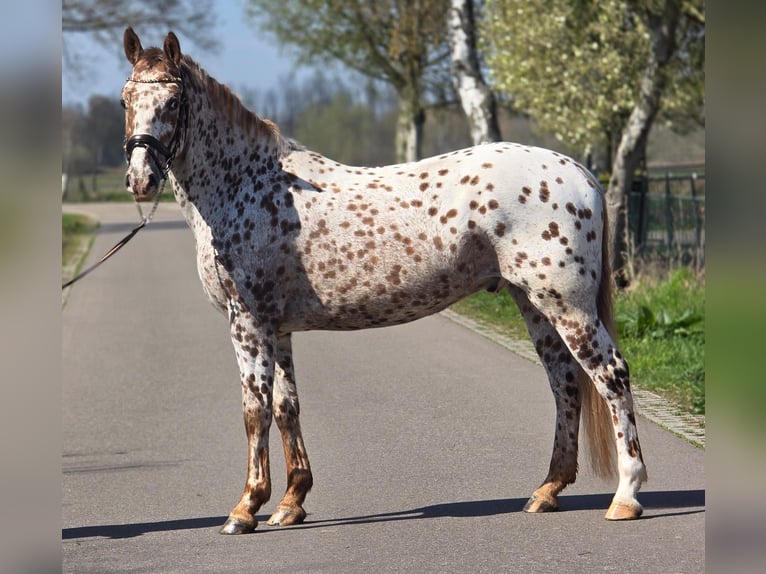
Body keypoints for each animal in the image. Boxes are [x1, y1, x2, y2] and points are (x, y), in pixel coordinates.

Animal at [120, 28, 647, 534]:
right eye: (126, 99)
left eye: (173, 101)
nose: (141, 179)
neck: (246, 186)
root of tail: (580, 174)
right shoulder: (278, 328)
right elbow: (287, 408)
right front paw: (290, 504)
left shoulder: (247, 324)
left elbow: (255, 411)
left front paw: (246, 508)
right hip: (534, 304)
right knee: (565, 383)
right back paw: (547, 490)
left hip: (567, 305)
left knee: (611, 375)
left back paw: (625, 497)